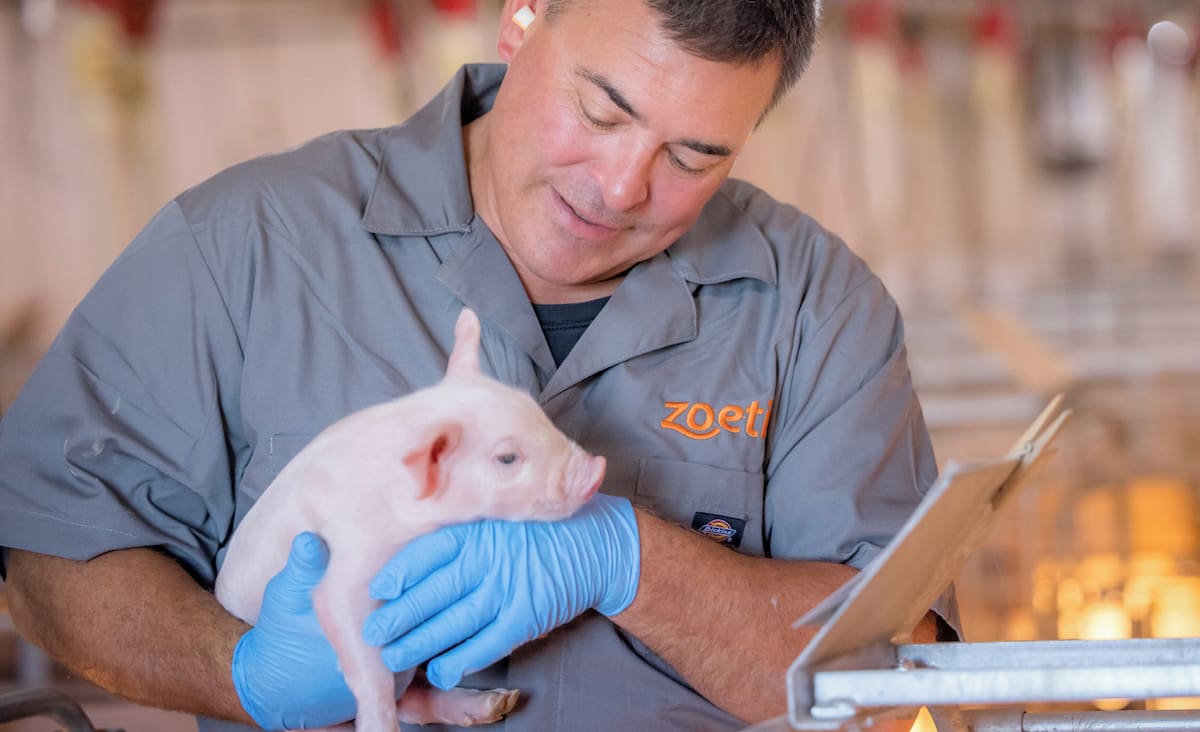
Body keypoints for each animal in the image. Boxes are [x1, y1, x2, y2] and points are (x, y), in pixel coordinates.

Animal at [214, 308, 606, 731]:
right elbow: (349, 630)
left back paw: (498, 704)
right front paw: (378, 726)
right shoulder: (347, 555)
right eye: (507, 458)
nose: (598, 468)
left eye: (538, 415)